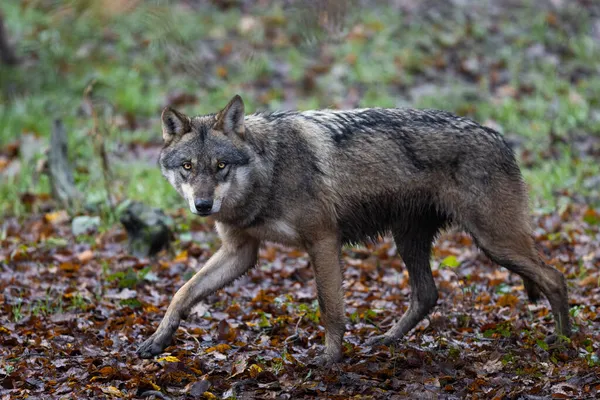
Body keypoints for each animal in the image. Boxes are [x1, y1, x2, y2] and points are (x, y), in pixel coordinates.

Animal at [137, 94, 572, 366]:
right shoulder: (240, 252)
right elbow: (182, 292)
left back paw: (566, 342)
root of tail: (500, 138)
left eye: (221, 166)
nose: (203, 206)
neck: (269, 171)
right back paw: (387, 341)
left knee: (555, 277)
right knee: (428, 294)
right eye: (188, 167)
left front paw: (330, 360)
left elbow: (330, 308)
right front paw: (157, 341)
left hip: (493, 242)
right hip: (411, 241)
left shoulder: (322, 241)